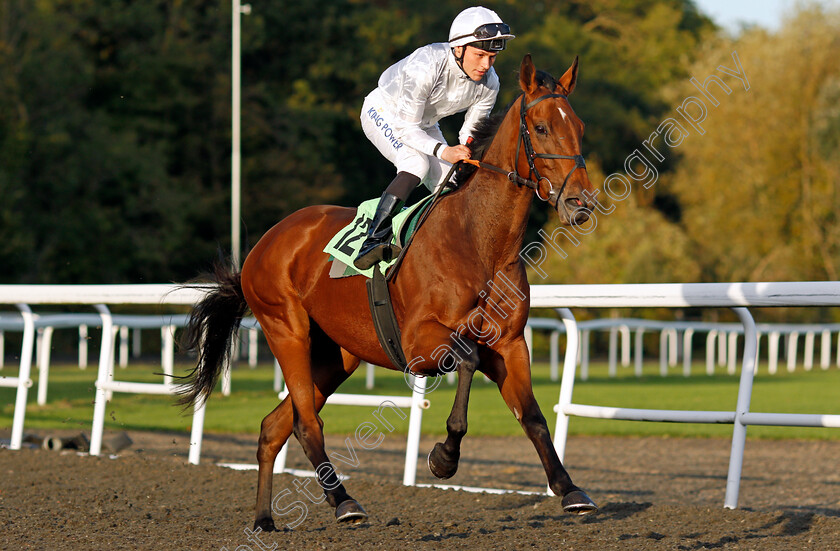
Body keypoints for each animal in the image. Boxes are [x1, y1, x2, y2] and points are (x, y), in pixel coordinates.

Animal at [177, 54, 596, 532]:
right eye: (541, 127)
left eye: (579, 126)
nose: (580, 203)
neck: (477, 241)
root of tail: (266, 242)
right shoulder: (418, 342)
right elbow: (467, 360)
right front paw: (444, 458)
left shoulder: (509, 344)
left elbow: (533, 416)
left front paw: (570, 489)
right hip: (286, 329)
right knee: (307, 424)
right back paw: (344, 502)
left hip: (336, 354)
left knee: (274, 426)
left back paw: (265, 519)